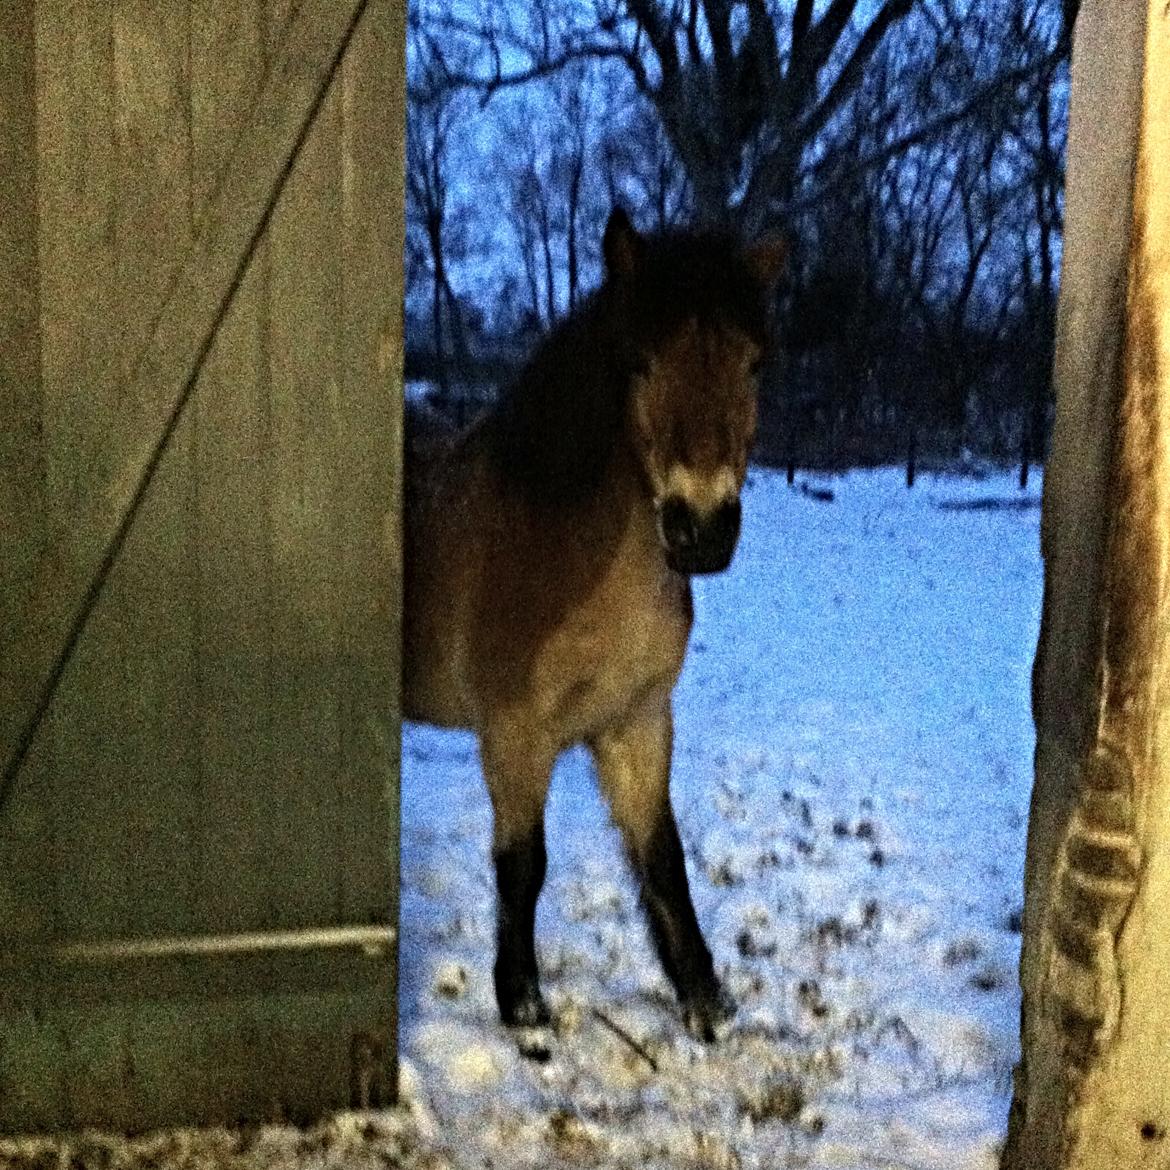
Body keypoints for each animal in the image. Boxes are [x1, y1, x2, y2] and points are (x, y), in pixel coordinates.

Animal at [404, 208, 786, 1043]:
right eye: (639, 362)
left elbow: (663, 857)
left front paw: (704, 999)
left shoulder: (636, 722)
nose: (702, 529)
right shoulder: (515, 733)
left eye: (754, 364)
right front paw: (524, 1009)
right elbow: (523, 864)